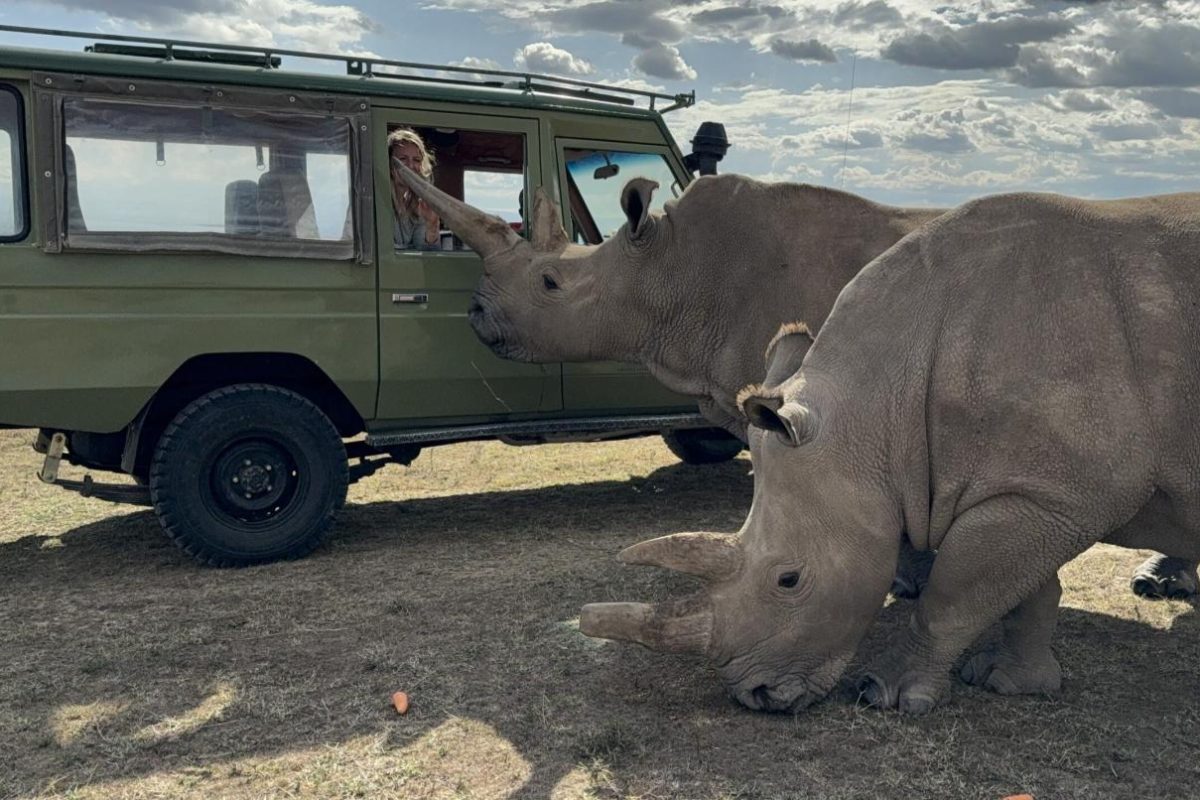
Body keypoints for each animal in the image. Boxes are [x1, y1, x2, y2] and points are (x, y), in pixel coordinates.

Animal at [579, 190, 1200, 713]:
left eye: (789, 580)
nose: (756, 697)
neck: (878, 407)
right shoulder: (1039, 490)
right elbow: (1023, 588)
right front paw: (1009, 682)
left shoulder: (1065, 492)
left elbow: (956, 592)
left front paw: (887, 694)